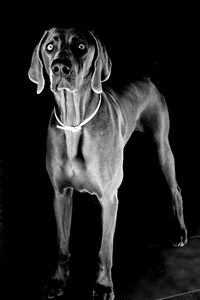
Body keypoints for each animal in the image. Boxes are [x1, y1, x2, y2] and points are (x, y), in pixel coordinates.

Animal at [27, 27, 188, 298]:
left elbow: (105, 251)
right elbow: (62, 246)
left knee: (174, 189)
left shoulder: (109, 198)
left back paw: (179, 232)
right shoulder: (60, 194)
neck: (74, 123)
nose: (60, 67)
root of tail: (146, 78)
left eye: (81, 46)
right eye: (49, 47)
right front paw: (58, 280)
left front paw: (103, 285)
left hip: (161, 147)